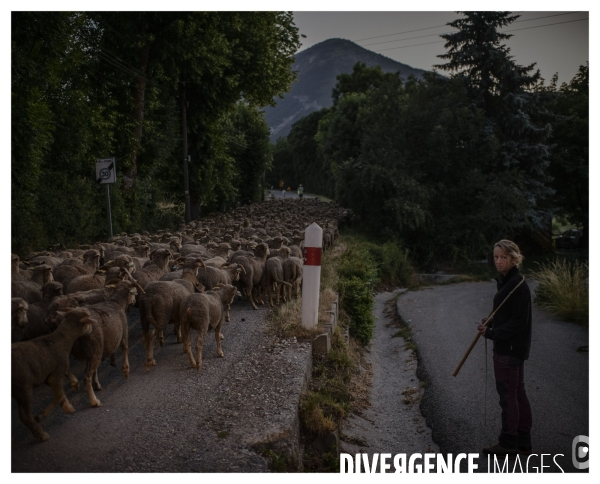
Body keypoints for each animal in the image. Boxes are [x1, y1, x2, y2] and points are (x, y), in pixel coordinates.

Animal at [10, 308, 94, 440]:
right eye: (88, 318)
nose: (91, 330)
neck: (62, 339)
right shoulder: (55, 376)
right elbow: (59, 395)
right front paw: (42, 415)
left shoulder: (51, 374)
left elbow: (64, 385)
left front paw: (70, 397)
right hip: (23, 387)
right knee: (24, 416)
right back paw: (42, 435)